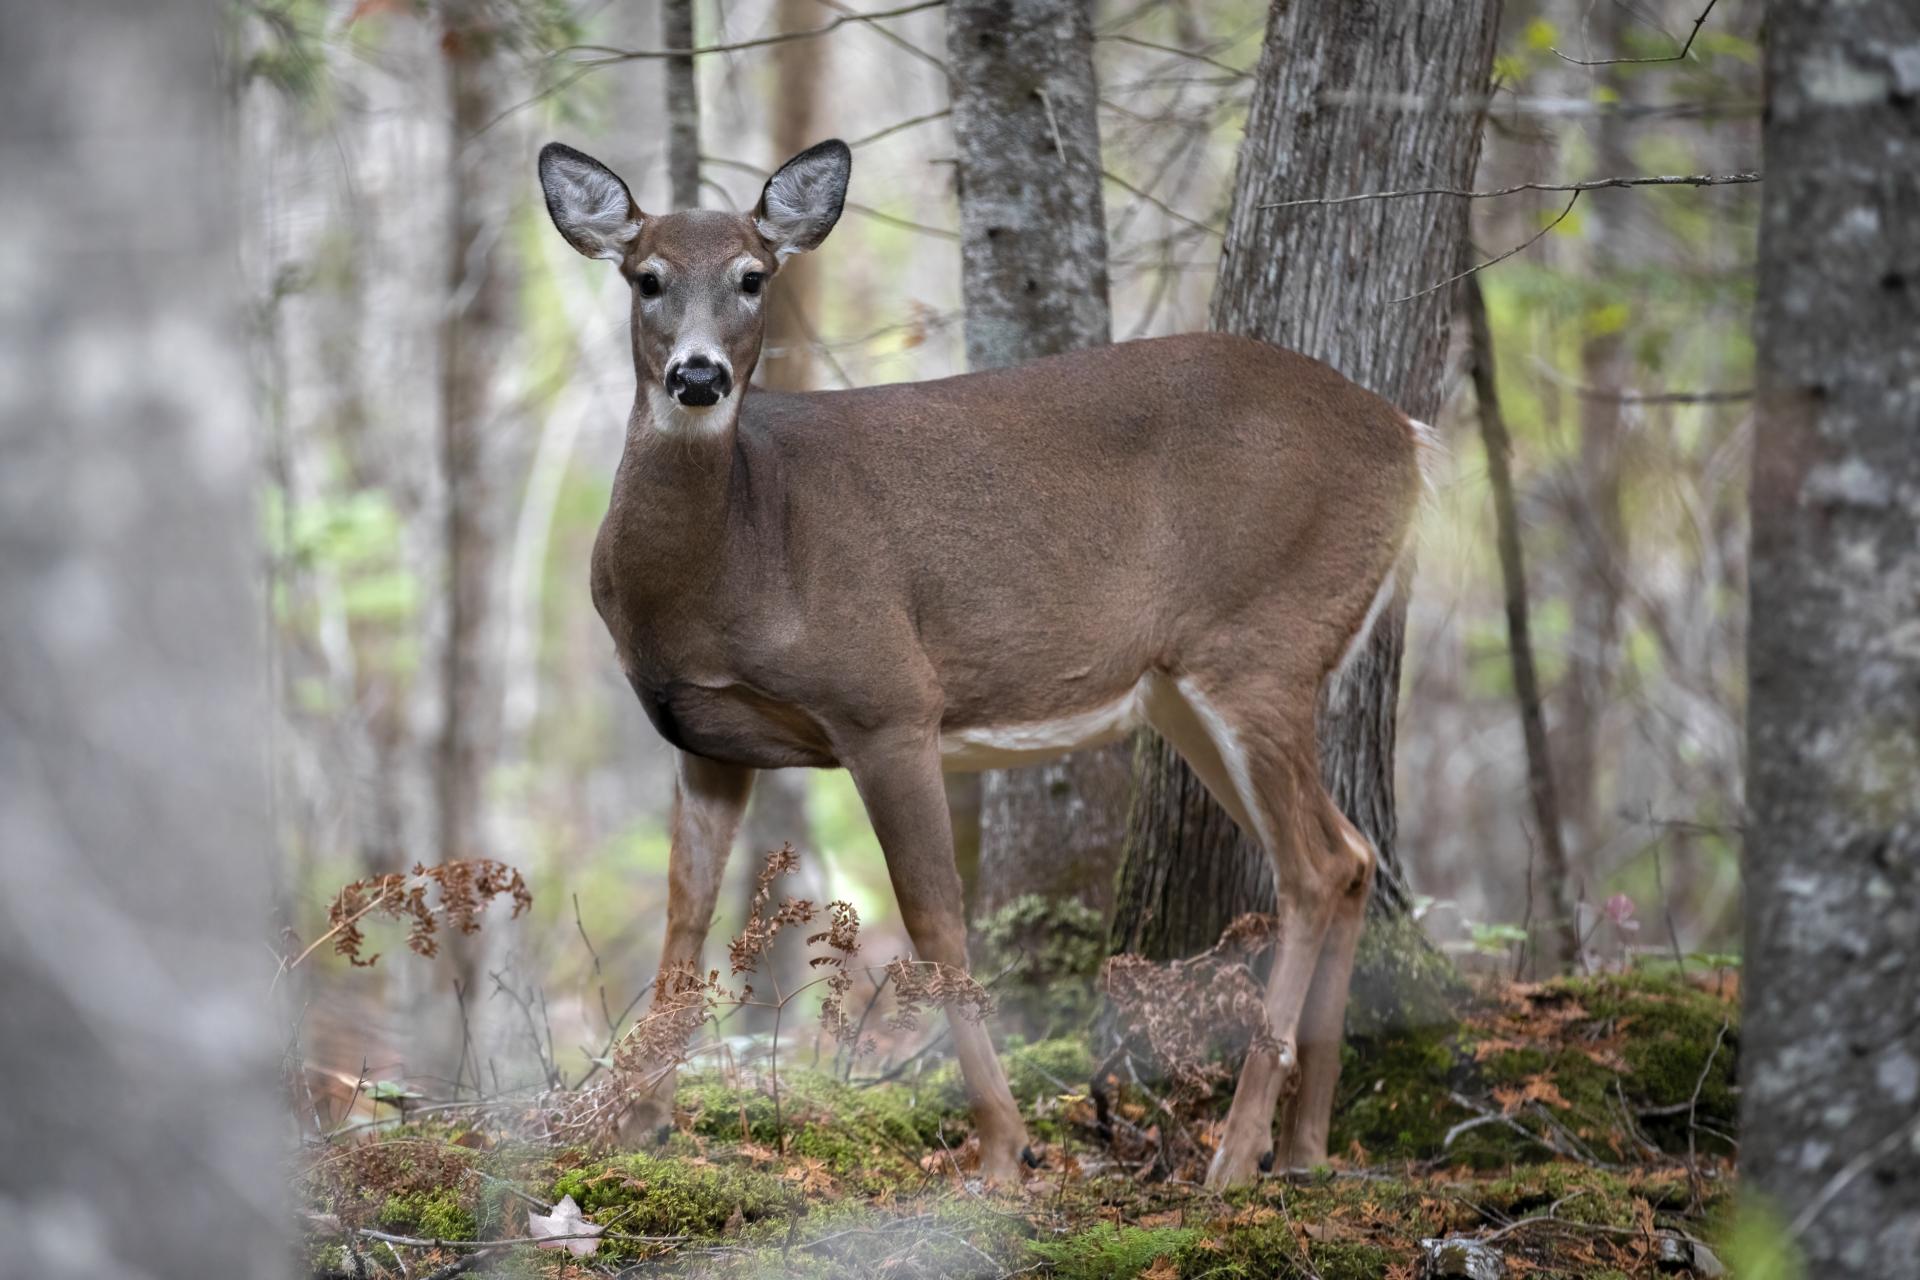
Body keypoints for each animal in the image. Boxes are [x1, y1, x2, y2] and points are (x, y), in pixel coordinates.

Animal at [536, 136, 1432, 1189]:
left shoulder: (887, 699)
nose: (700, 376)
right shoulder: (706, 738)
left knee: (1314, 866)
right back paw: (1305, 1145)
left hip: (1264, 638)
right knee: (1353, 853)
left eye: (753, 277)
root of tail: (1409, 439)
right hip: (1188, 688)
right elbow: (685, 916)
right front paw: (638, 1131)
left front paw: (1005, 1150)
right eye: (647, 278)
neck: (739, 553)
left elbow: (936, 919)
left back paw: (1238, 1151)